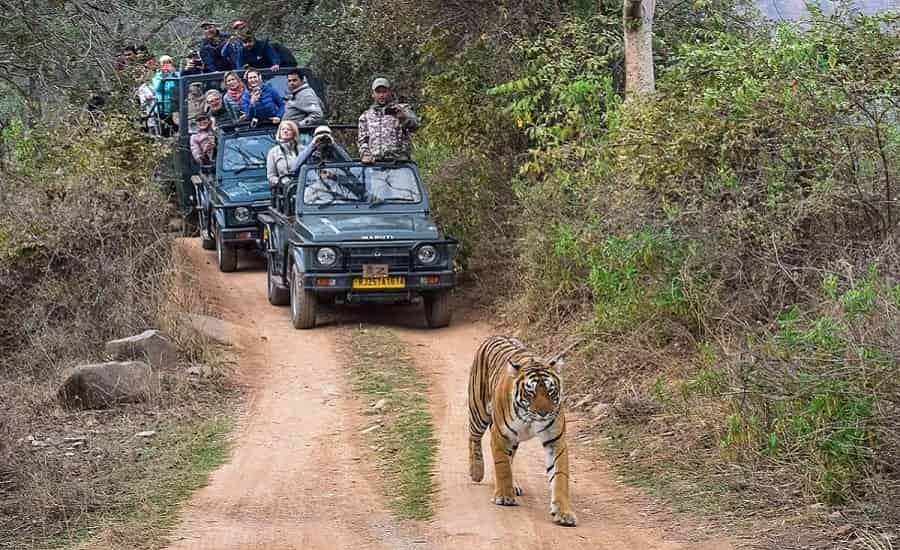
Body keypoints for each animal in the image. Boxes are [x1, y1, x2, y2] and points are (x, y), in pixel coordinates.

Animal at [467, 335, 577, 527]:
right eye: (530, 392)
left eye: (550, 391)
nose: (544, 413)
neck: (529, 419)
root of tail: (495, 336)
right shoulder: (501, 435)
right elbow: (502, 466)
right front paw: (504, 496)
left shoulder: (555, 441)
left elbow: (560, 476)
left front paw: (563, 512)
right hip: (478, 411)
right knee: (473, 438)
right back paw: (476, 471)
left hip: (513, 440)